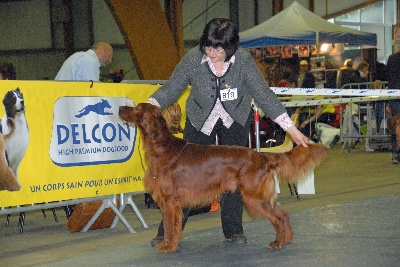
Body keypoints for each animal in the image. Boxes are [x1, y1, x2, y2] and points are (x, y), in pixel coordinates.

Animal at [119, 103, 328, 254]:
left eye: (137, 108)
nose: (121, 108)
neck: (162, 148)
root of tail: (263, 156)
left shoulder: (170, 201)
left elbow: (170, 226)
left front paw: (168, 246)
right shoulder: (171, 202)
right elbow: (174, 226)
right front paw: (169, 243)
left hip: (253, 198)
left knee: (276, 218)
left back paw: (278, 242)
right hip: (260, 196)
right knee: (283, 214)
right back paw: (288, 238)